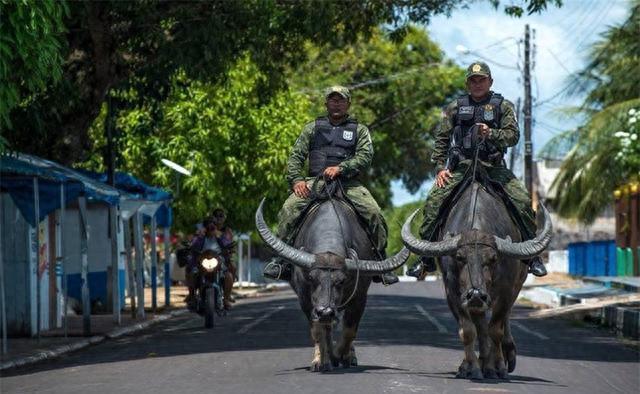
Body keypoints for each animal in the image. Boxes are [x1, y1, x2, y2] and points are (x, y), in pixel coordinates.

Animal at [255, 197, 410, 372]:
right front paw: (320, 360)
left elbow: (349, 331)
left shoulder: (359, 298)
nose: (325, 311)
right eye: (311, 277)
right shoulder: (306, 300)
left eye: (342, 280)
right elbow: (317, 331)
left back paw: (347, 356)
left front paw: (339, 355)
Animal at [400, 181, 552, 378]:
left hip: (518, 283)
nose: (476, 295)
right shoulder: (453, 292)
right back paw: (483, 361)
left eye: (493, 258)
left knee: (504, 319)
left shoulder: (506, 290)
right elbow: (468, 330)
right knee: (481, 326)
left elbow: (496, 329)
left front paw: (498, 367)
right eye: (459, 257)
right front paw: (471, 367)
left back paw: (505, 355)